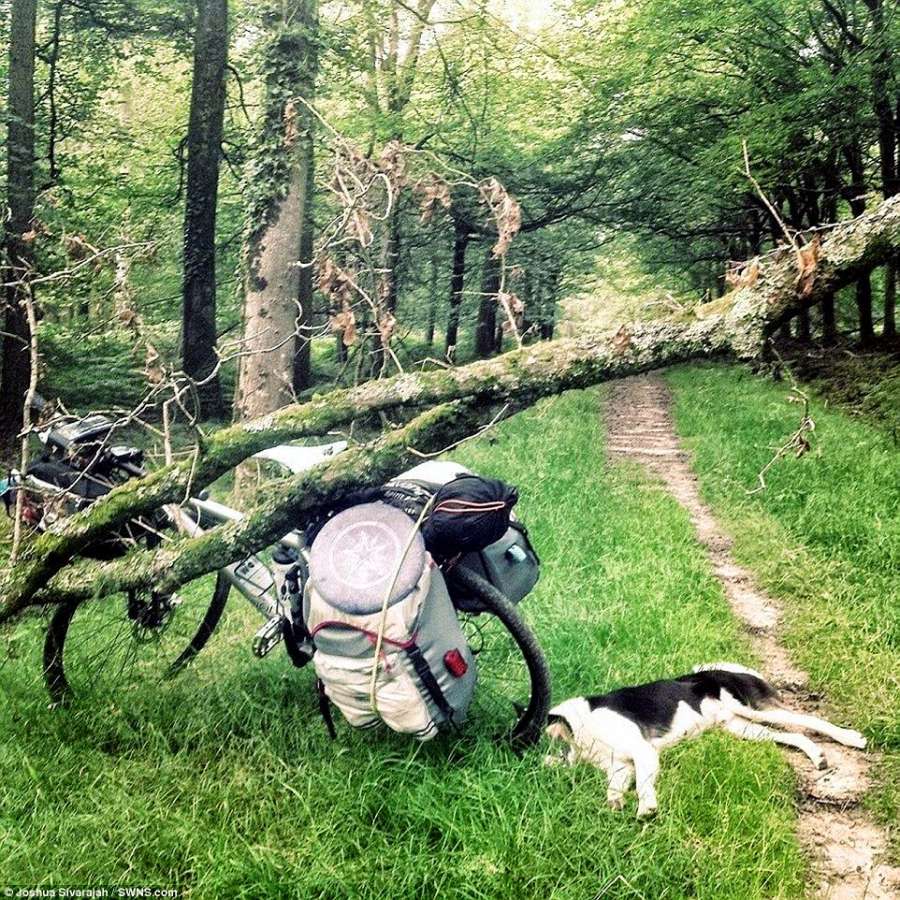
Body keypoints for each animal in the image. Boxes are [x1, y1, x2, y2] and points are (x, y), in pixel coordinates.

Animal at [544, 664, 868, 820]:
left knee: (808, 720)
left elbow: (643, 787)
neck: (584, 727)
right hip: (742, 727)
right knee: (793, 734)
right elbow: (614, 789)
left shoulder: (642, 751)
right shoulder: (620, 766)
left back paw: (851, 738)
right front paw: (615, 804)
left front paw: (646, 808)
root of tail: (731, 671)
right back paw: (817, 756)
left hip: (753, 708)